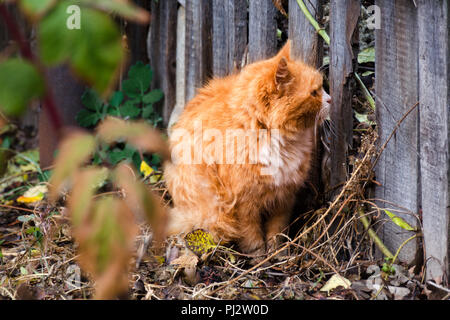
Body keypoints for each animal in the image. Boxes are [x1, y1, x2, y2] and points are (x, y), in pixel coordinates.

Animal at [165, 41, 330, 255]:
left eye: (320, 89)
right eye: (314, 93)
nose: (330, 99)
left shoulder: (284, 197)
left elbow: (277, 230)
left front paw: (277, 253)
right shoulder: (242, 203)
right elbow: (251, 235)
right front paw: (259, 255)